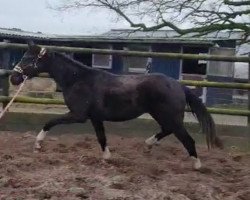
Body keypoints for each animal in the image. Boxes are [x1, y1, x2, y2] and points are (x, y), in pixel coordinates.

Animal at [9, 42, 222, 169]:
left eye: (27, 58)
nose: (13, 78)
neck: (78, 80)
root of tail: (179, 85)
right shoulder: (95, 117)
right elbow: (101, 137)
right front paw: (107, 157)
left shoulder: (78, 115)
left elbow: (50, 122)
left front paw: (38, 144)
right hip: (162, 115)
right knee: (168, 130)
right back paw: (148, 145)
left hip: (169, 116)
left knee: (187, 139)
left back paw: (197, 164)